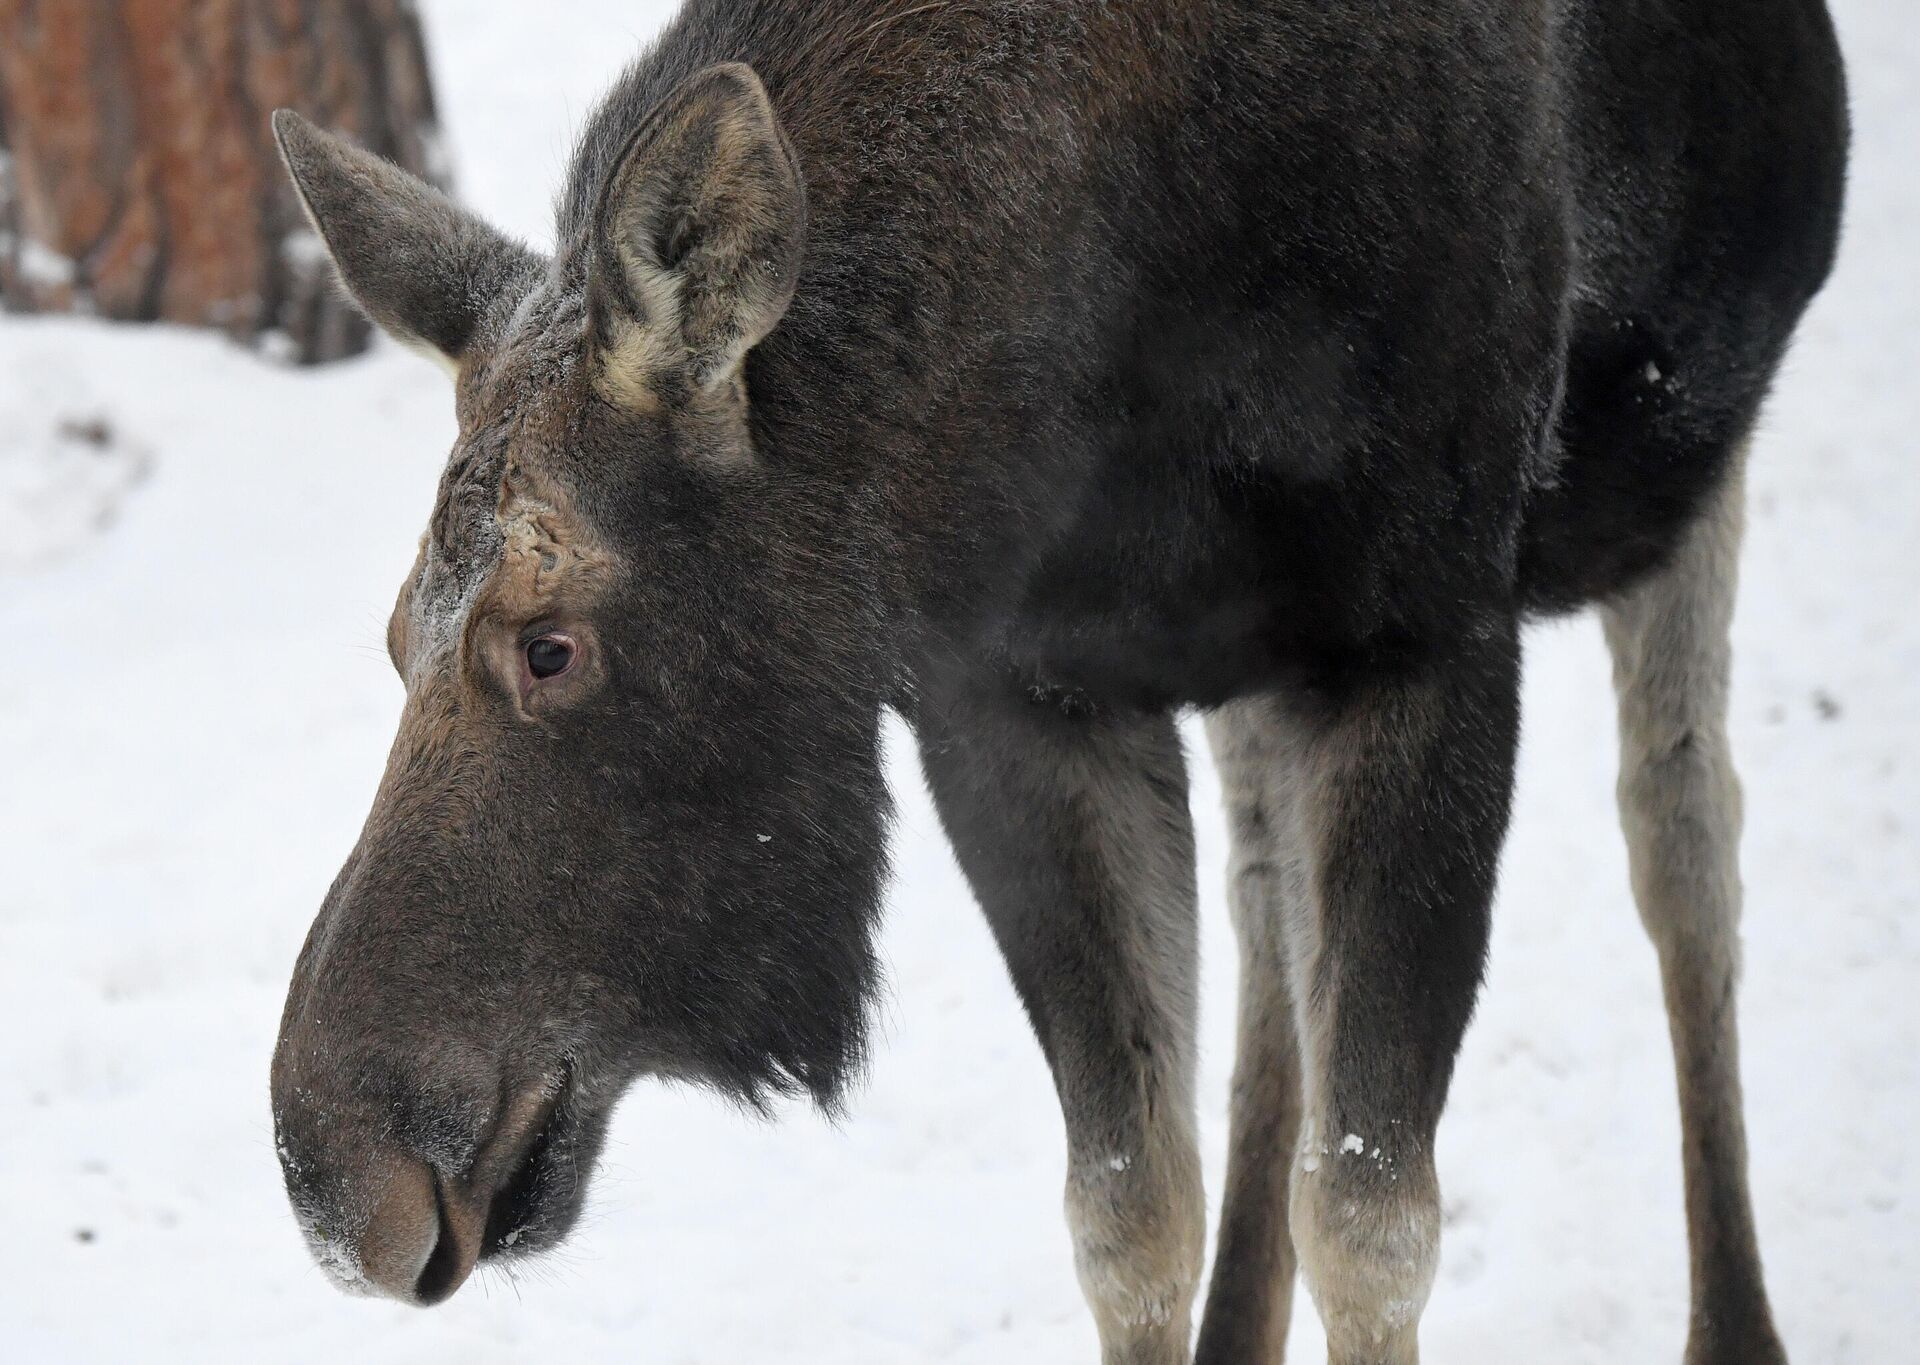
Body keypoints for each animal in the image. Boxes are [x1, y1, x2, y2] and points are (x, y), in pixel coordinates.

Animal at [270, 5, 1843, 1359]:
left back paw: (1739, 1323)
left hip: (1687, 455)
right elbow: (1131, 1212)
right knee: (1271, 910)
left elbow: (1373, 1218)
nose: (335, 1173)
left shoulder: (1423, 643)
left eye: (549, 643)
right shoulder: (1020, 696)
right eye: (395, 636)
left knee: (1686, 840)